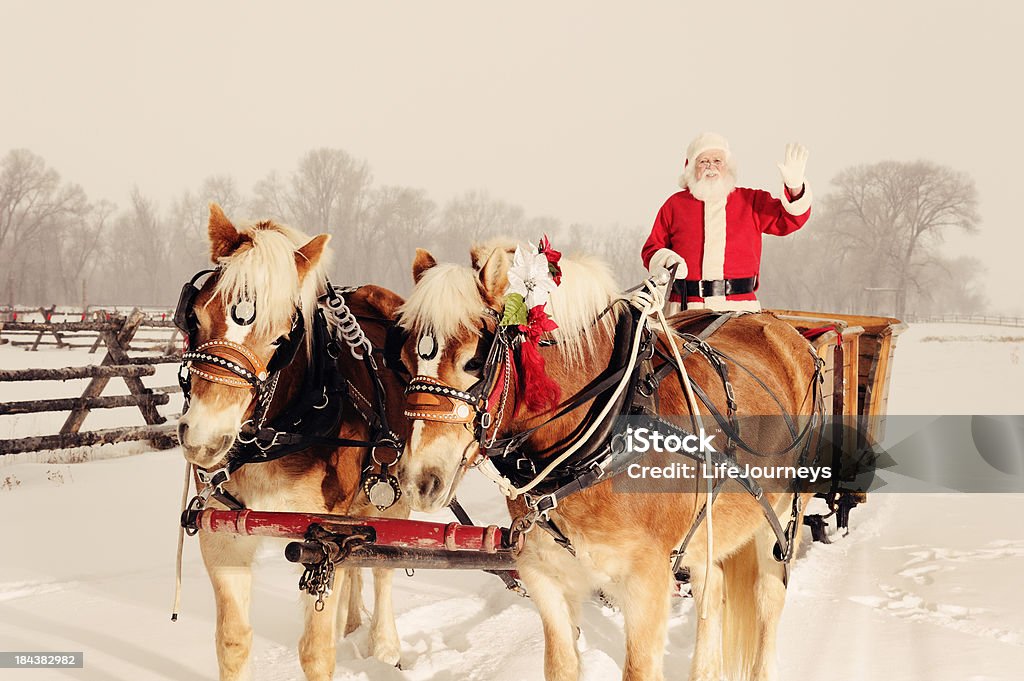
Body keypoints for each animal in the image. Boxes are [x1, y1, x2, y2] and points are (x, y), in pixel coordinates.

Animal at [178, 205, 409, 679]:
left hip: (393, 489)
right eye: (196, 317)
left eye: (281, 336)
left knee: (383, 568)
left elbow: (316, 651)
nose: (206, 438)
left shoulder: (323, 539)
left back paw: (384, 645)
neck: (273, 437)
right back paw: (351, 622)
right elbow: (232, 643)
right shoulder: (221, 534)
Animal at [395, 244, 819, 679]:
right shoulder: (545, 576)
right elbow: (561, 665)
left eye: (474, 362)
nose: (417, 480)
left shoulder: (646, 582)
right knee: (712, 587)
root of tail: (780, 328)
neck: (603, 442)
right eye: (404, 361)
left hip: (781, 516)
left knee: (768, 599)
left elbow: (639, 668)